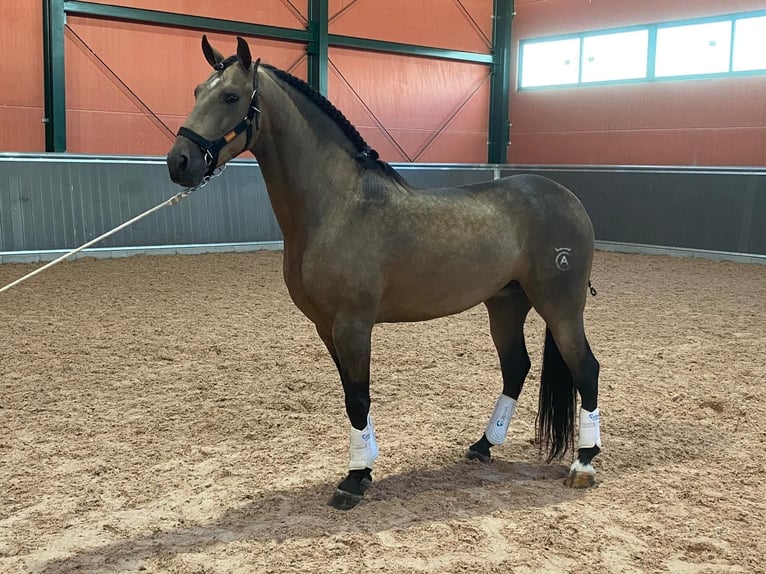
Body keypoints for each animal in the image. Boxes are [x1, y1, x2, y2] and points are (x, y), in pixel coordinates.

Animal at [168, 37, 608, 512]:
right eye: (196, 91)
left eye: (231, 97)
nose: (179, 162)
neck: (339, 206)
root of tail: (567, 198)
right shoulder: (327, 327)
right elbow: (350, 396)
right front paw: (364, 465)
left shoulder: (354, 325)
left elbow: (358, 398)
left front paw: (354, 479)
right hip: (506, 304)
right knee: (516, 368)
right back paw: (483, 446)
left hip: (560, 305)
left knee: (586, 368)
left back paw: (583, 462)